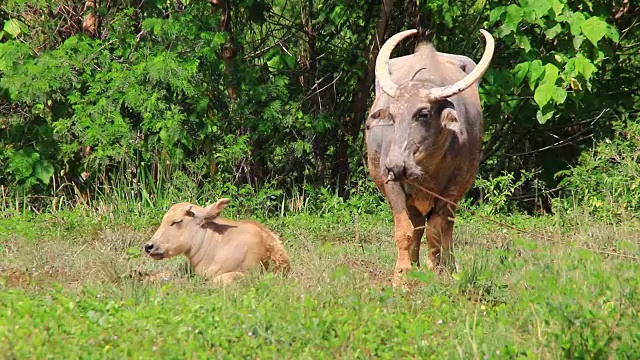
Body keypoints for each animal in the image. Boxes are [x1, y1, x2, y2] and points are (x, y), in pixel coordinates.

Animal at [364, 28, 496, 284]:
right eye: (393, 115)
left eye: (423, 113)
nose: (395, 165)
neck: (425, 168)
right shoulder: (392, 185)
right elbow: (404, 231)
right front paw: (402, 277)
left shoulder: (452, 190)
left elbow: (437, 231)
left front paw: (436, 271)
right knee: (416, 226)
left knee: (446, 229)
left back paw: (449, 266)